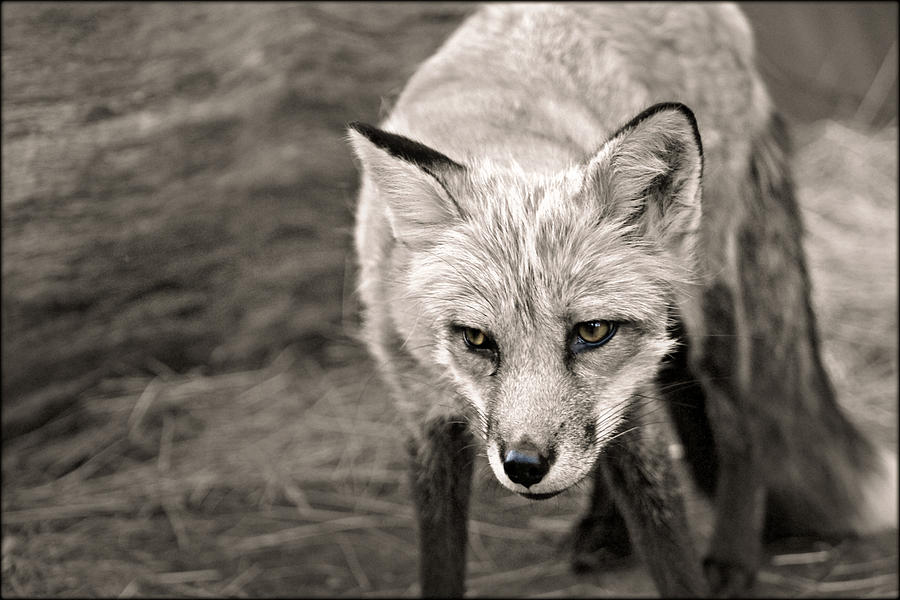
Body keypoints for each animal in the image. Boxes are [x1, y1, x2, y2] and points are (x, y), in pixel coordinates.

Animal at [348, 2, 896, 596]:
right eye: (475, 338)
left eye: (592, 332)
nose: (525, 465)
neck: (501, 136)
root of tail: (725, 16)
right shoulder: (421, 414)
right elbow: (440, 562)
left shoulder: (632, 395)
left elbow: (671, 551)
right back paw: (607, 530)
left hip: (707, 309)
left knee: (739, 420)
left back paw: (733, 553)